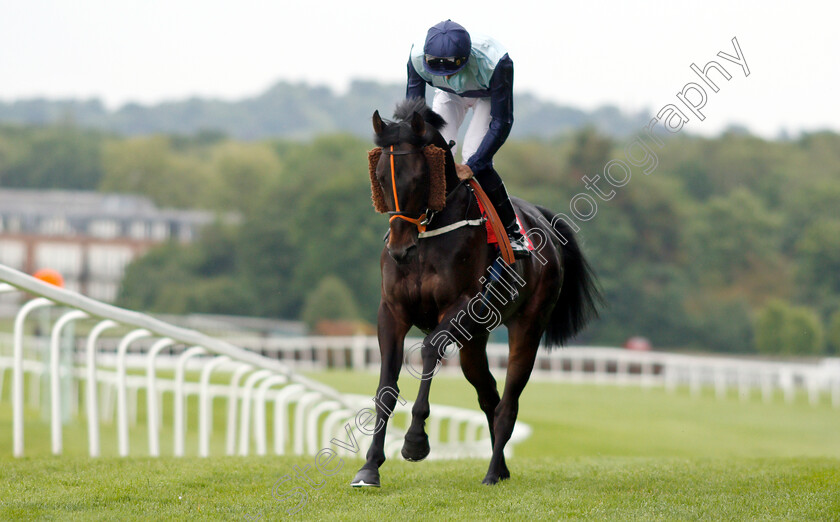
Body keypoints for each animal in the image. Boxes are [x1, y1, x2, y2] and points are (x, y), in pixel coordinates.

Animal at [352, 98, 600, 488]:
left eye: (418, 177)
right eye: (379, 177)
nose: (399, 248)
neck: (428, 236)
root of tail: (544, 220)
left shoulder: (462, 305)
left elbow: (429, 349)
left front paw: (415, 441)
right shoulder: (392, 311)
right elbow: (386, 385)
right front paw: (370, 466)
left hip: (527, 326)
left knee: (509, 401)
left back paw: (493, 470)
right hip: (474, 340)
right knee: (489, 395)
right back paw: (502, 468)